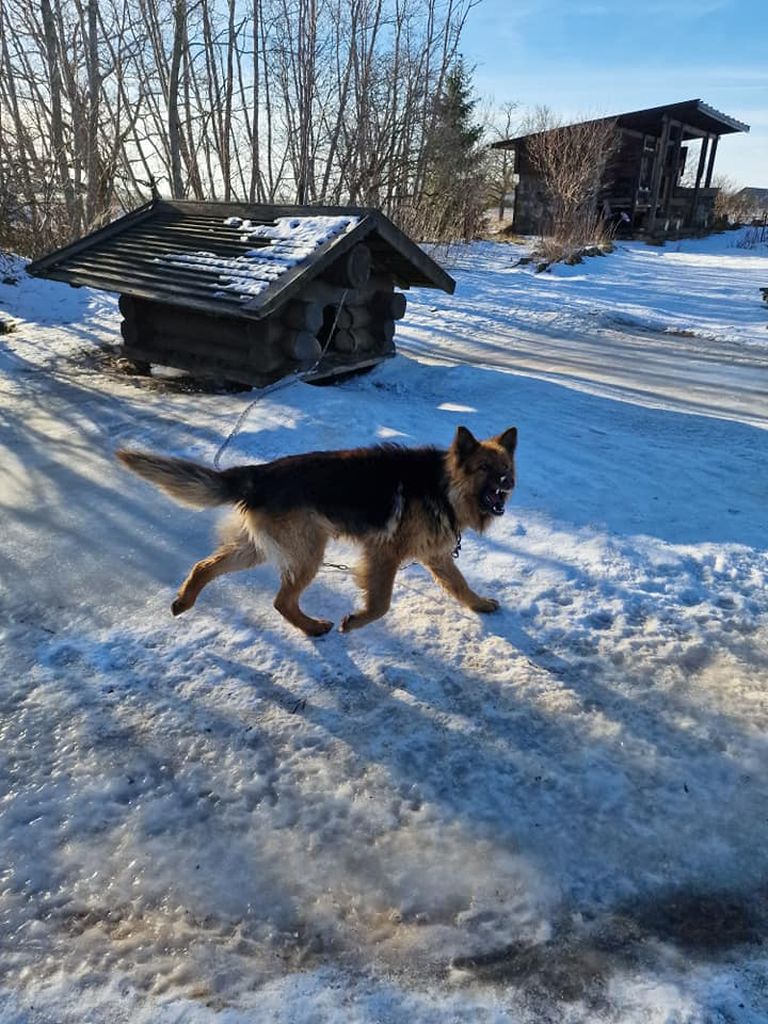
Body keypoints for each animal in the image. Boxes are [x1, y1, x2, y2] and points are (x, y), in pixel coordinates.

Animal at [115, 421, 518, 630]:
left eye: (506, 468)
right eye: (484, 468)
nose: (508, 484)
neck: (443, 483)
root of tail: (259, 475)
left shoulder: (436, 557)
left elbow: (461, 585)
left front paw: (480, 604)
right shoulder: (384, 554)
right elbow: (381, 603)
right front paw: (355, 621)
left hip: (259, 549)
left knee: (206, 565)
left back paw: (184, 600)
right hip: (308, 552)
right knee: (281, 601)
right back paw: (313, 628)